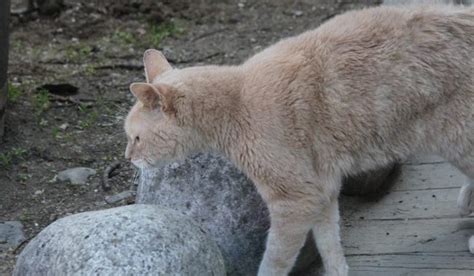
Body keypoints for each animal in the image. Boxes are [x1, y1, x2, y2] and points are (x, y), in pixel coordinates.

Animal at [125, 4, 474, 276]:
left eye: (136, 138)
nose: (128, 157)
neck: (235, 104)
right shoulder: (321, 191)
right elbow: (329, 243)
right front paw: (339, 271)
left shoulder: (295, 200)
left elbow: (275, 259)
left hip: (458, 139)